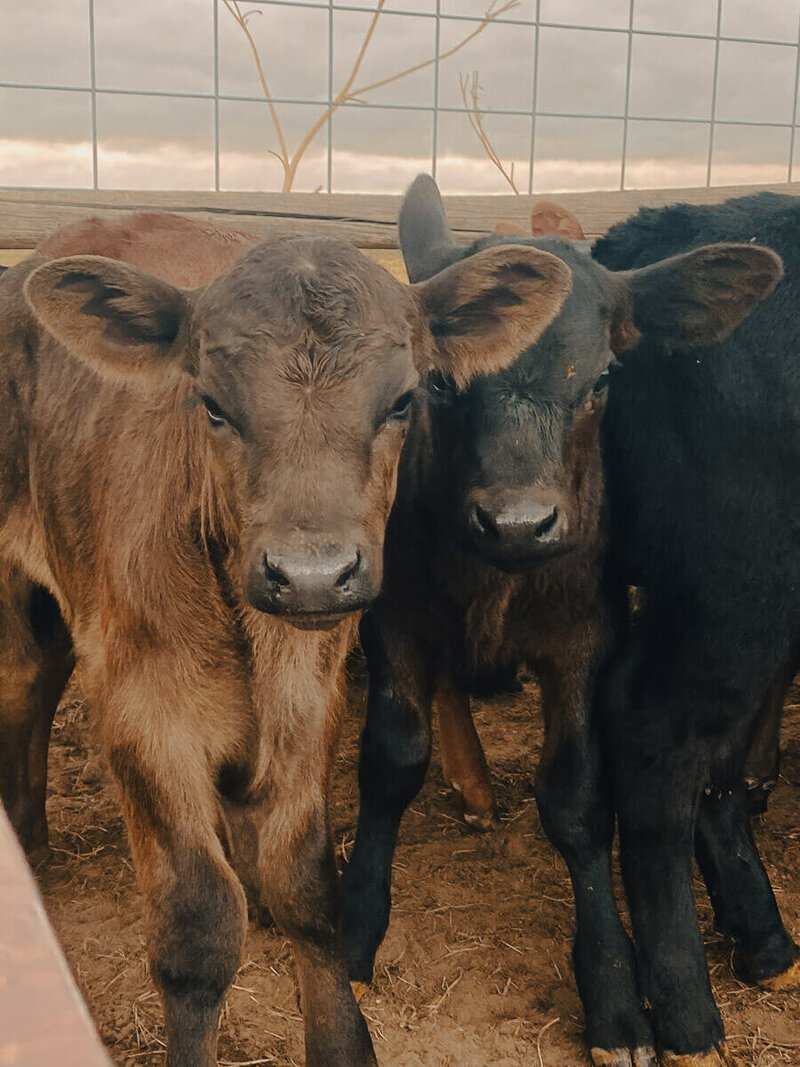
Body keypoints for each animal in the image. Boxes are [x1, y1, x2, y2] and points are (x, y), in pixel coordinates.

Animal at [1, 212, 576, 1067]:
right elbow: (198, 926)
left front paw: (341, 1037)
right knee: (25, 679)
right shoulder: (144, 714)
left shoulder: (312, 697)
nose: (310, 575)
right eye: (211, 404)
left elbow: (309, 885)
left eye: (403, 400)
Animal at [339, 174, 785, 1067]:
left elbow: (578, 800)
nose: (517, 522)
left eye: (605, 379)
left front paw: (614, 995)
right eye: (440, 381)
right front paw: (359, 927)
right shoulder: (393, 619)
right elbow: (391, 761)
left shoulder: (584, 637)